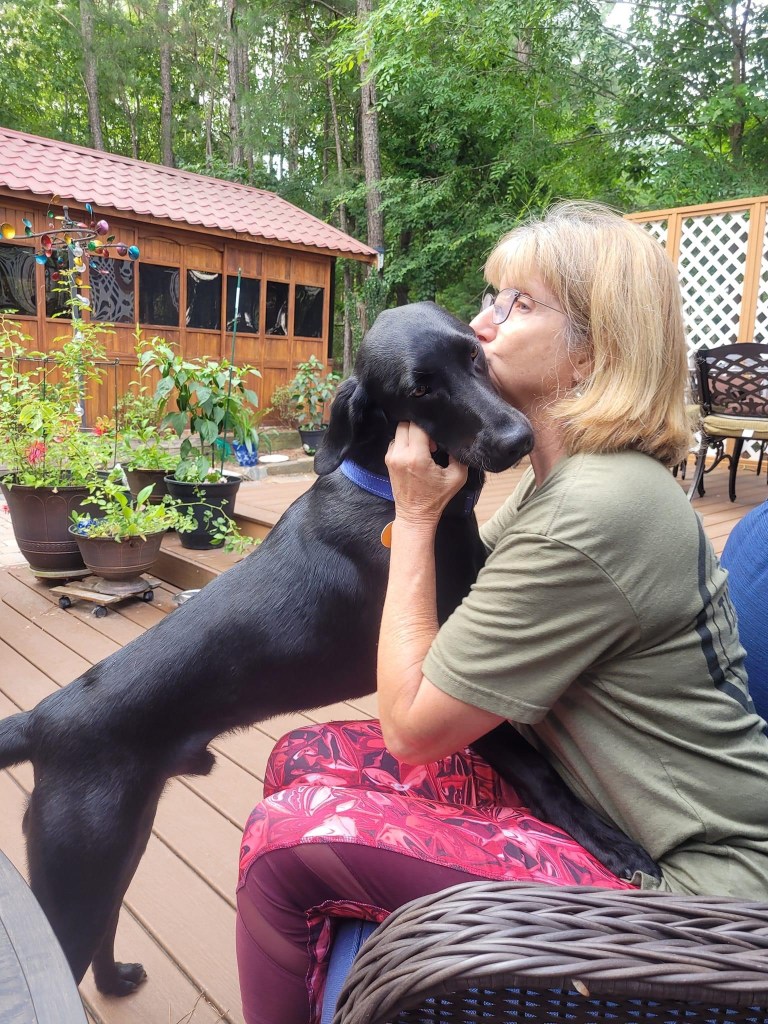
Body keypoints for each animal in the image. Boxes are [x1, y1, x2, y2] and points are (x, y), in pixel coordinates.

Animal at [0, 301, 658, 996]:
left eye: (474, 355)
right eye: (420, 389)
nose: (516, 439)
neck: (386, 493)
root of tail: (43, 718)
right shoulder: (441, 687)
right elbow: (539, 770)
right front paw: (610, 842)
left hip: (117, 847)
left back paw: (116, 979)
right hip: (81, 861)